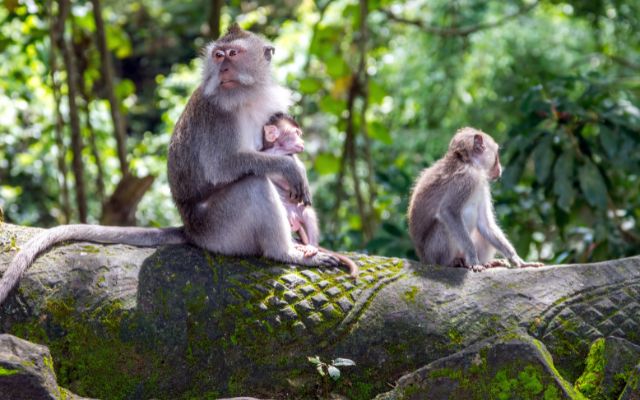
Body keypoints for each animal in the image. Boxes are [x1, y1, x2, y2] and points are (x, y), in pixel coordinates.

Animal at [262, 112, 360, 278]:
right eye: (296, 133)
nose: (302, 141)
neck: (278, 150)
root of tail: (294, 221)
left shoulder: (290, 155)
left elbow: (299, 167)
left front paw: (304, 183)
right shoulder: (267, 153)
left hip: (298, 212)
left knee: (307, 212)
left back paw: (311, 246)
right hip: (286, 215)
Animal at [410, 128, 540, 272]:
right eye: (496, 155)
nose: (500, 168)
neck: (470, 163)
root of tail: (424, 259)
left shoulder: (482, 185)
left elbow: (485, 224)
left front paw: (517, 259)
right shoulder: (467, 179)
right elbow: (448, 212)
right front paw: (473, 259)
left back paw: (488, 263)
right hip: (433, 253)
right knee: (443, 224)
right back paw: (452, 262)